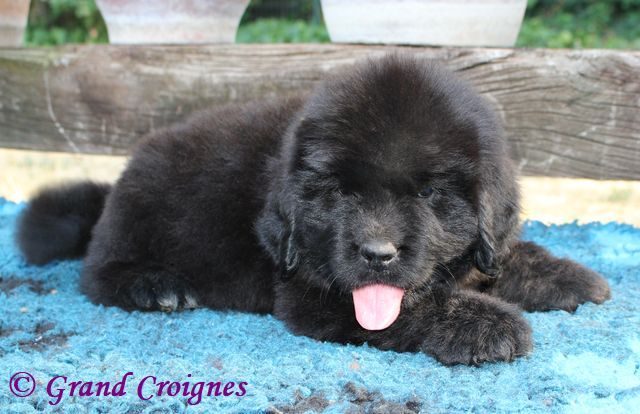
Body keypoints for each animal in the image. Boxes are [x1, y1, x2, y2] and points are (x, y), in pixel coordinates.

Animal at [17, 54, 611, 365]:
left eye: (428, 194)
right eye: (340, 193)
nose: (377, 253)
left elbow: (506, 255)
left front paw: (567, 276)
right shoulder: (310, 293)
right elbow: (420, 307)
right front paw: (489, 325)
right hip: (138, 213)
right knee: (95, 272)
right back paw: (154, 286)